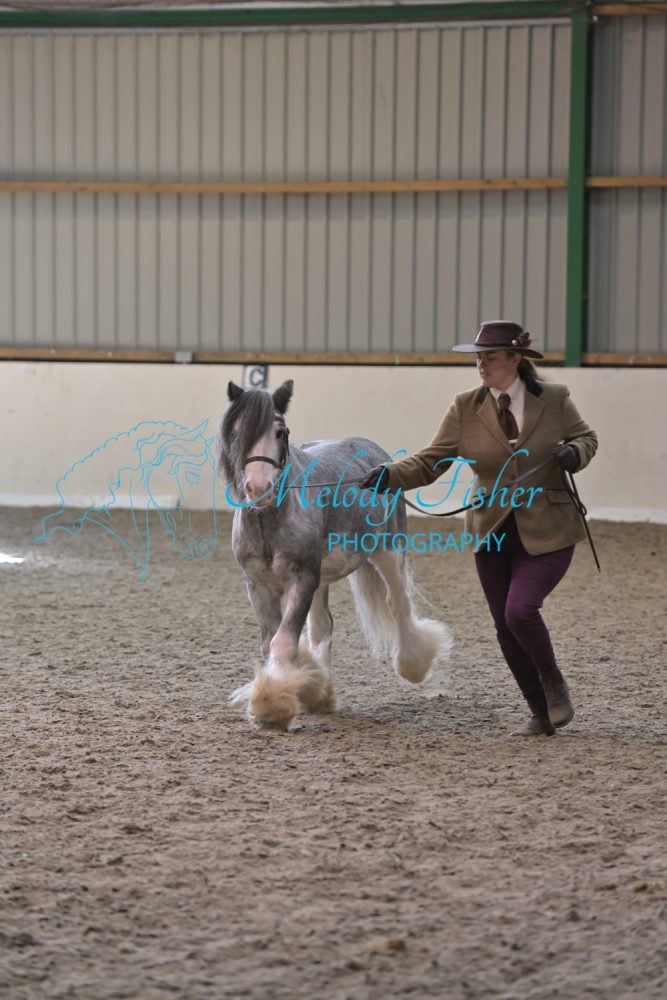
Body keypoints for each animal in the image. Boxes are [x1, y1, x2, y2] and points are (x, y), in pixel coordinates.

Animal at [217, 378, 451, 730]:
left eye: (280, 431)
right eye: (235, 430)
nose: (259, 487)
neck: (270, 520)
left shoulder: (303, 578)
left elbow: (283, 641)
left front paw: (271, 705)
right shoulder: (259, 586)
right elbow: (271, 641)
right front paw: (295, 686)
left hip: (387, 552)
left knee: (398, 605)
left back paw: (412, 664)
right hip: (323, 579)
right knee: (322, 626)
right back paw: (319, 693)